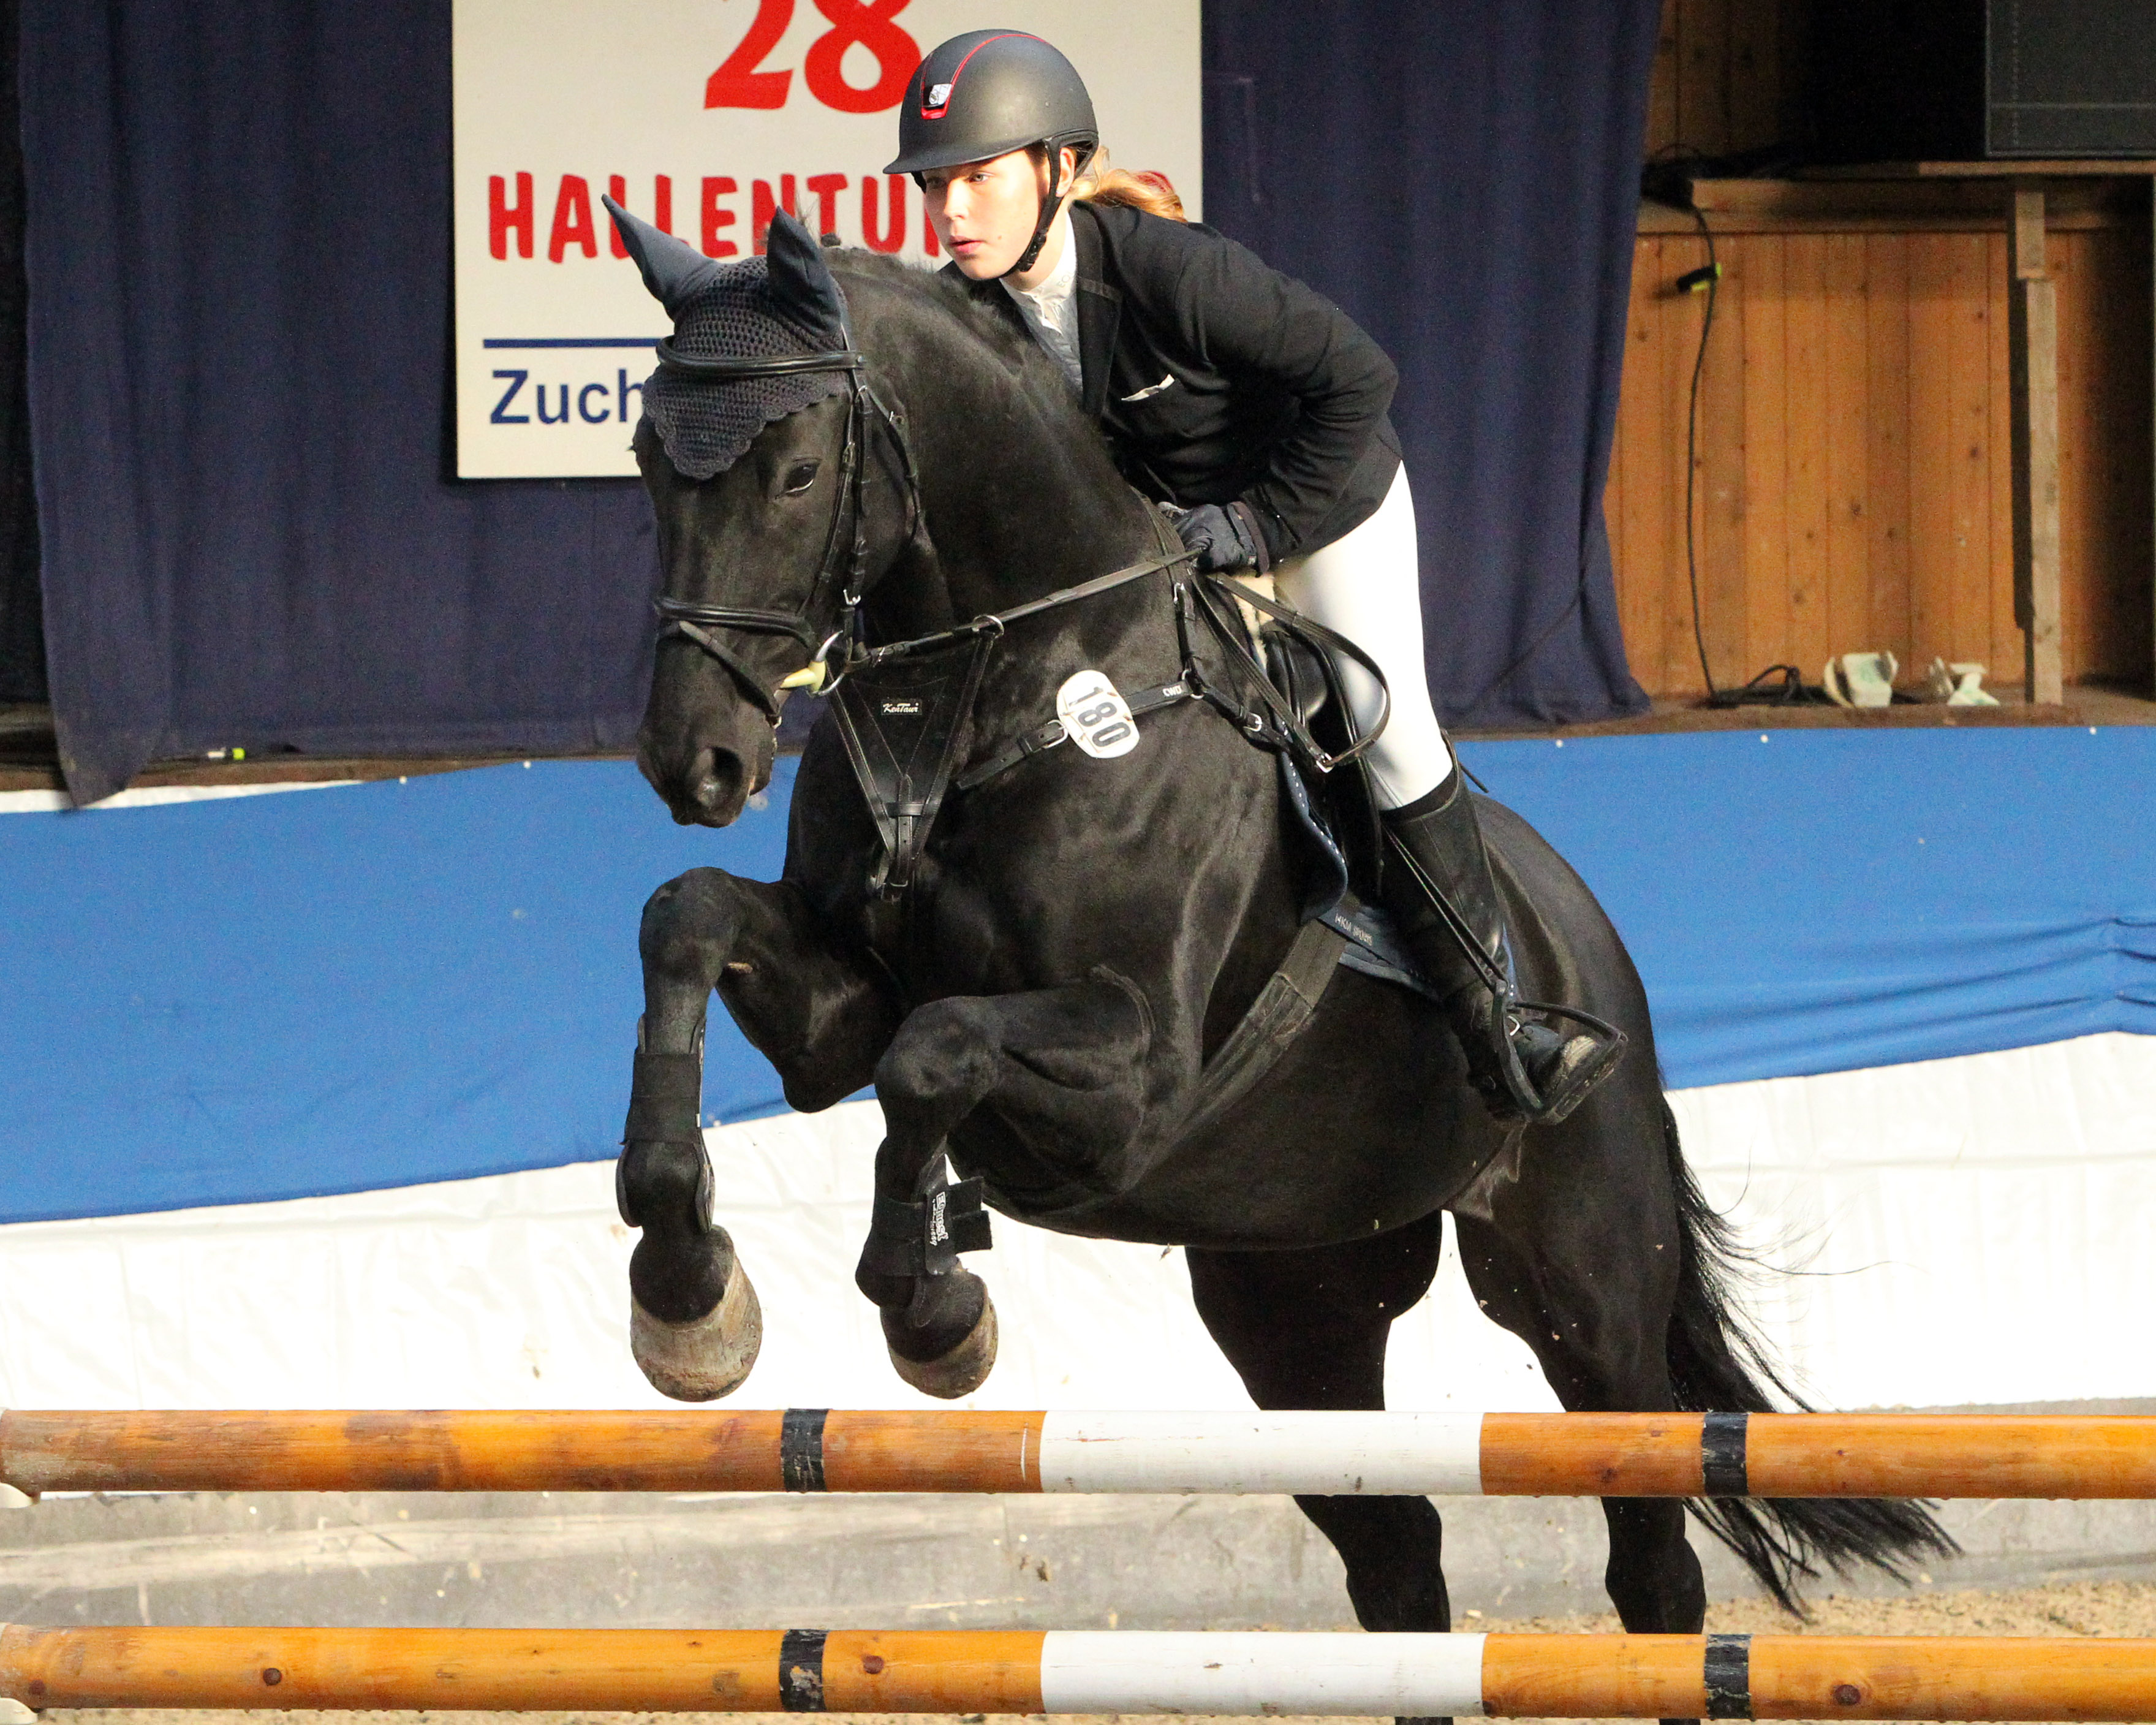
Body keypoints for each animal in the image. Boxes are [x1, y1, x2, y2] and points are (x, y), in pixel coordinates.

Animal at [599, 198, 1949, 1673]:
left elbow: (935, 1052)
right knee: (1396, 1556)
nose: (695, 764)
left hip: (1586, 1296)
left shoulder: (1134, 1076)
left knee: (1649, 1554)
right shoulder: (835, 1016)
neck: (997, 683)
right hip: (1296, 1302)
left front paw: (936, 1315)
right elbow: (691, 921)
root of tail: (1601, 966)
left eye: (793, 474)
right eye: (649, 466)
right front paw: (684, 1290)